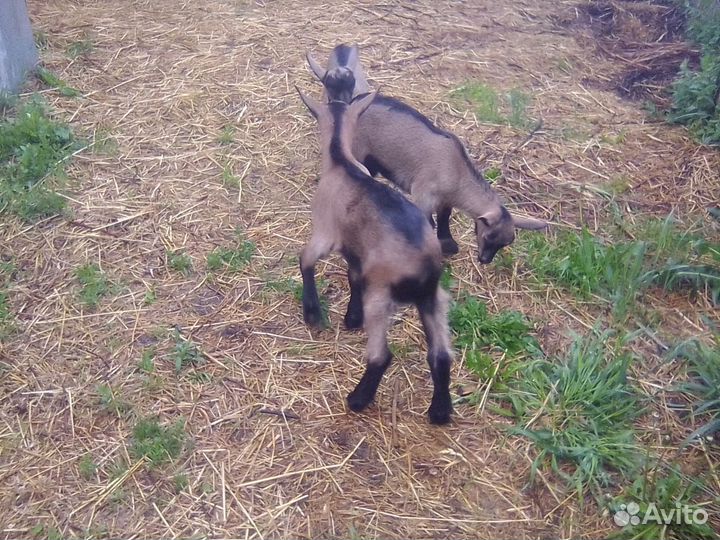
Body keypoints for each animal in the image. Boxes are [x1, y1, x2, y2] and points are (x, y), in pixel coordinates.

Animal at [296, 88, 454, 424]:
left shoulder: (325, 233)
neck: (341, 161)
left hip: (382, 295)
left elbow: (306, 260)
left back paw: (357, 399)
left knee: (381, 355)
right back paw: (439, 411)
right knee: (441, 354)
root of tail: (424, 267)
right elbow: (352, 277)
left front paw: (313, 313)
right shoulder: (357, 252)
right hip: (433, 298)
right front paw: (352, 317)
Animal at [307, 45, 547, 262]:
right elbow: (428, 224)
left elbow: (444, 218)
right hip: (357, 150)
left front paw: (449, 245)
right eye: (489, 237)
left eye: (506, 242)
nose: (484, 260)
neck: (457, 170)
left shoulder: (445, 200)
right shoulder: (423, 195)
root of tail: (351, 104)